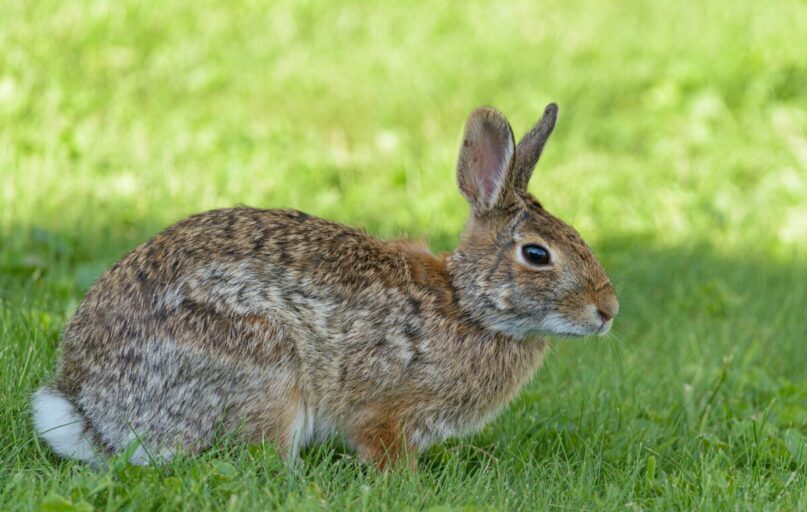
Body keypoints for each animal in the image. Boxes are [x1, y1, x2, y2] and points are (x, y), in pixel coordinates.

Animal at [32, 103, 619, 468]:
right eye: (537, 255)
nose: (608, 310)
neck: (468, 305)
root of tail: (92, 411)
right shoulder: (388, 410)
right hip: (264, 370)